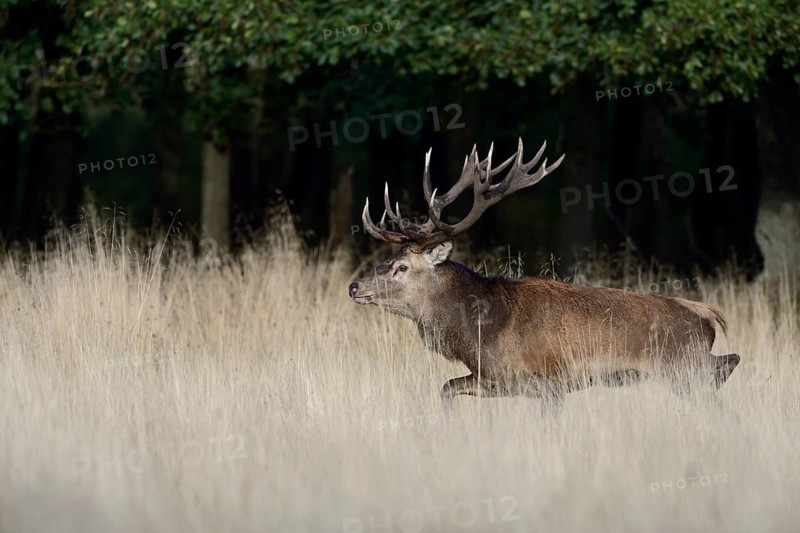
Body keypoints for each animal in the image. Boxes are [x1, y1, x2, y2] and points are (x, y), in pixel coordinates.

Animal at [348, 139, 740, 410]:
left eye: (401, 267)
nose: (354, 286)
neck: (480, 332)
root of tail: (707, 316)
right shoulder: (494, 378)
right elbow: (446, 387)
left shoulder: (548, 381)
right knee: (729, 363)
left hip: (682, 368)